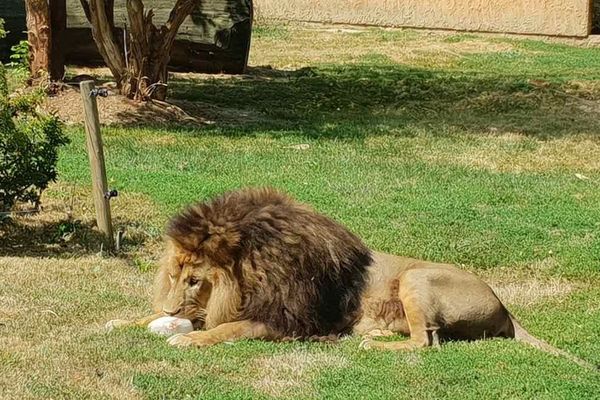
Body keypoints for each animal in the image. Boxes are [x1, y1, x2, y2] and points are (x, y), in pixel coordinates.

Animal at [108, 188, 596, 368]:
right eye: (175, 274)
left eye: (195, 279)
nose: (170, 307)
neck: (253, 272)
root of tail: (505, 306)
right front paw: (124, 321)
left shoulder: (287, 320)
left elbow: (227, 329)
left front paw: (187, 338)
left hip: (416, 278)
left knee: (426, 343)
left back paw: (372, 344)